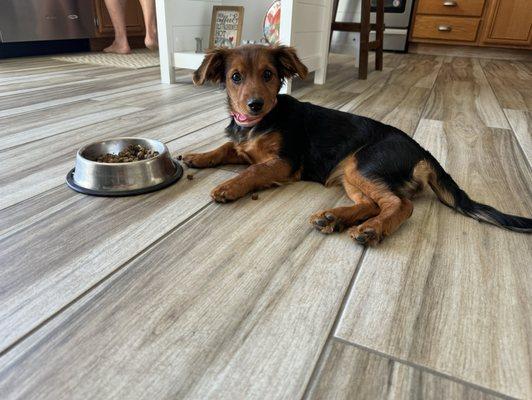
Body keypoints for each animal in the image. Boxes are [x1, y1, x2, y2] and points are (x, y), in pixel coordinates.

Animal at [182, 43, 528, 244]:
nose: (254, 105)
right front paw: (198, 156)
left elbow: (253, 171)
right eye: (235, 77)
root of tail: (422, 151)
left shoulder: (285, 162)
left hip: (365, 163)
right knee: (372, 204)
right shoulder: (245, 148)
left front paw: (229, 187)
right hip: (351, 172)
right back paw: (334, 218)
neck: (259, 122)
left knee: (401, 204)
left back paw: (372, 229)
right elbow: (226, 149)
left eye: (268, 74)